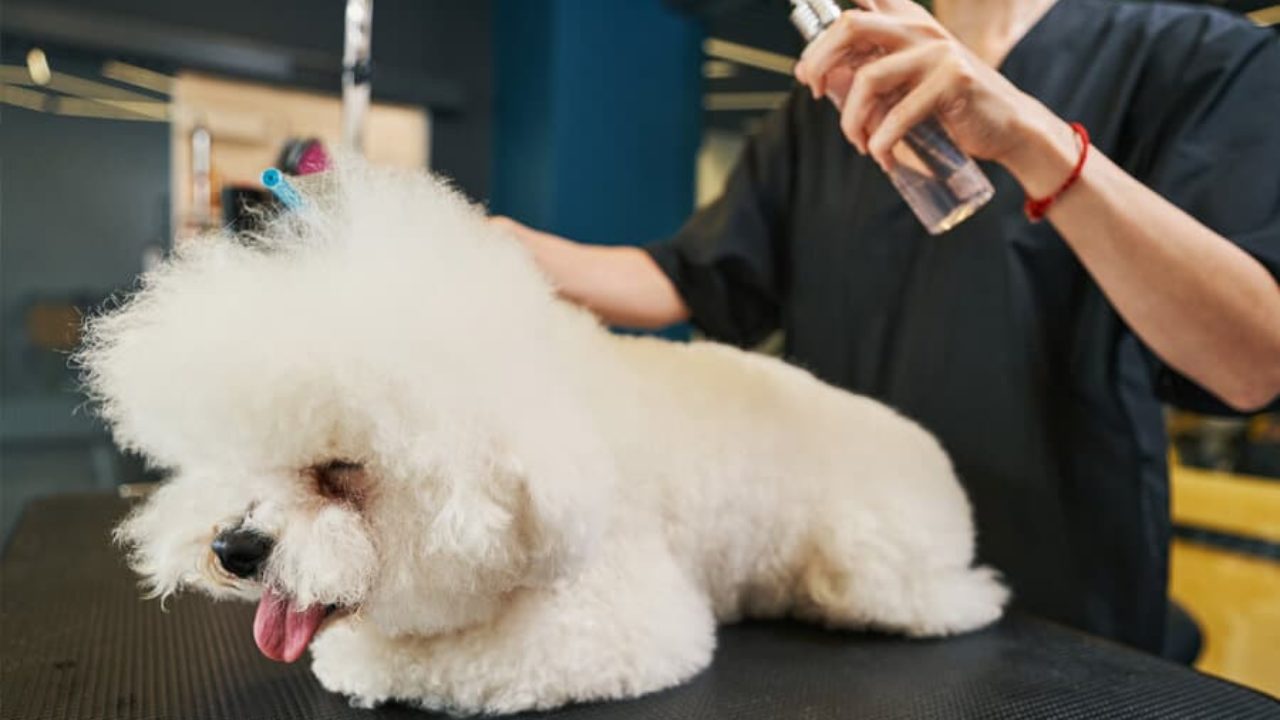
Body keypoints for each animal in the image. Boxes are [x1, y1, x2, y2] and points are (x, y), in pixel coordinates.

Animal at [80, 161, 1003, 712]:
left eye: (340, 467)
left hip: (875, 568)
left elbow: (422, 661)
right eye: (234, 457)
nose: (234, 548)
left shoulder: (611, 620)